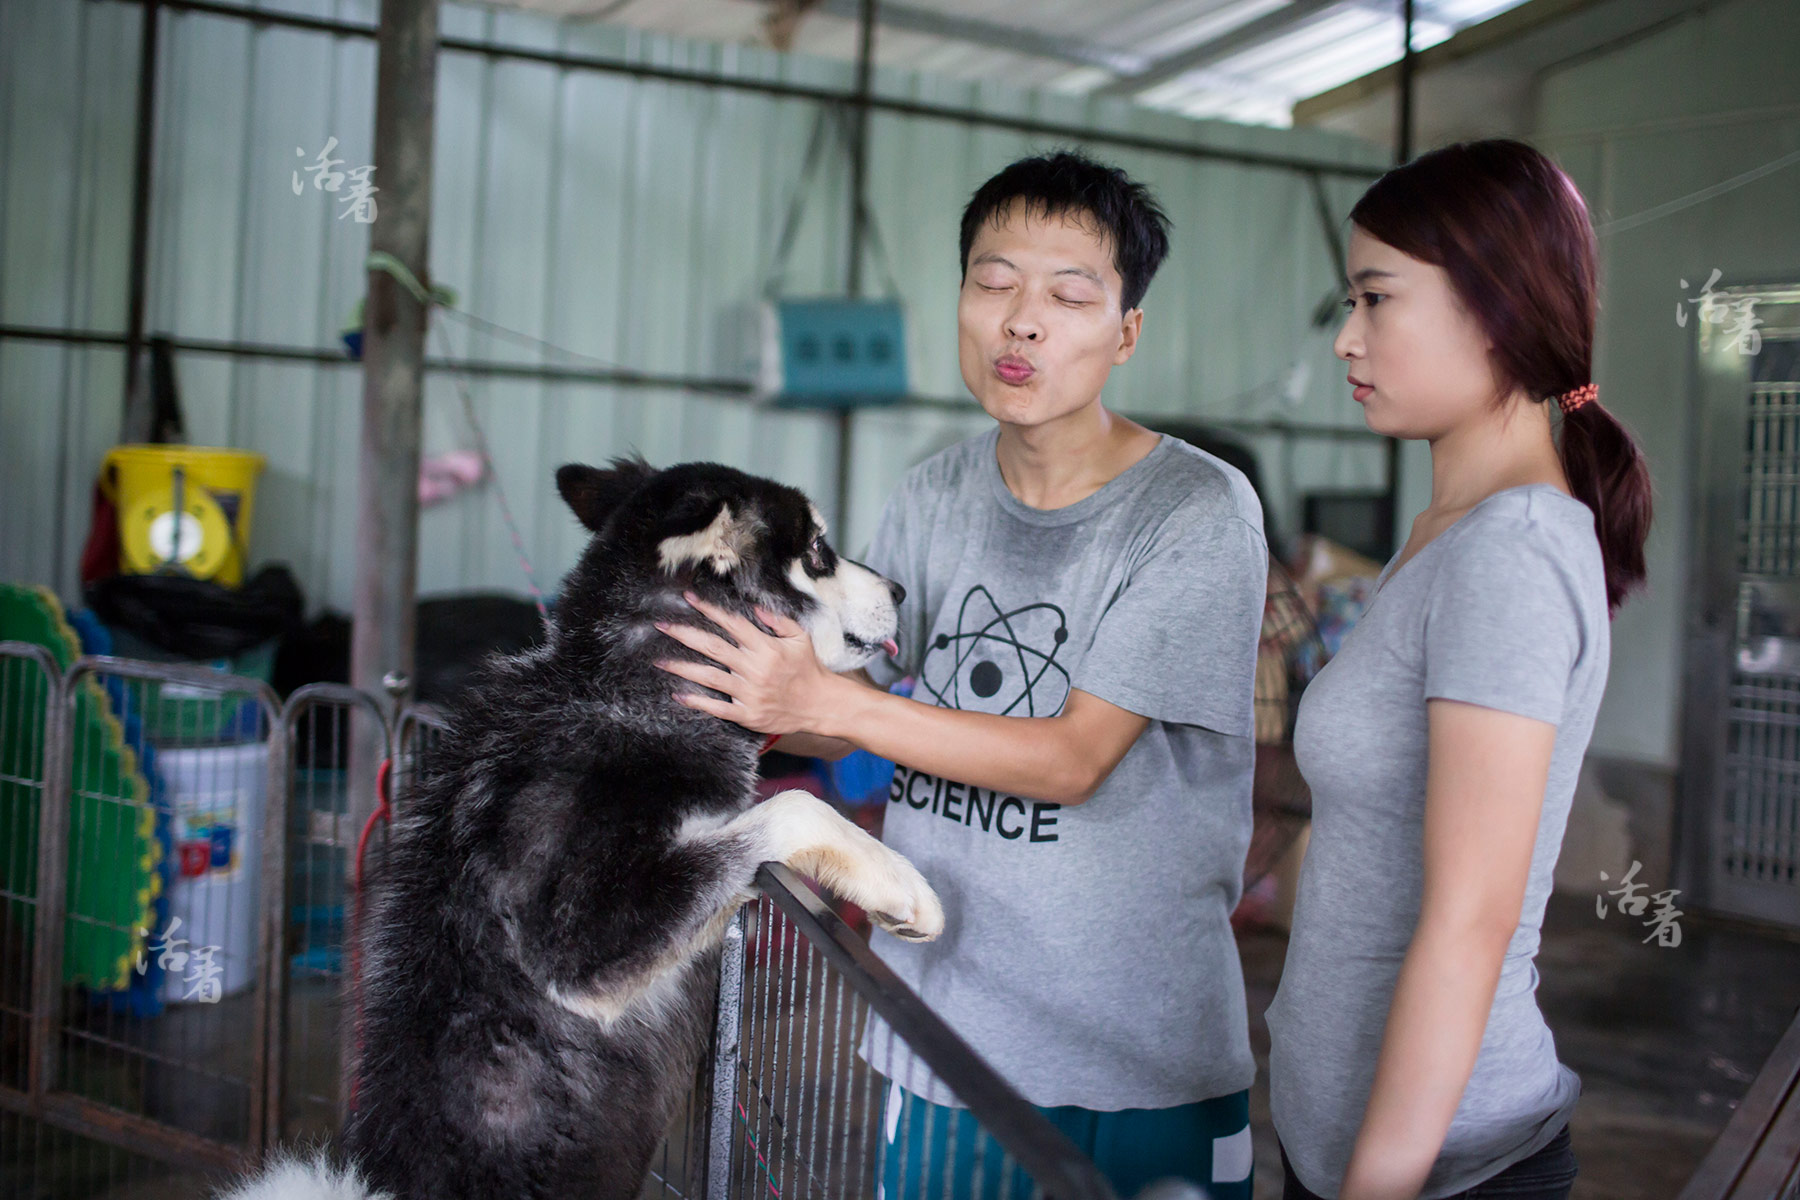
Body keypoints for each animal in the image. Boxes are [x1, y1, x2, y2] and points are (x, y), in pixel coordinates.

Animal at [228, 460, 943, 1200]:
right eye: (819, 551)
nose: (900, 589)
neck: (627, 694)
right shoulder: (574, 941)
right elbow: (791, 806)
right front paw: (898, 886)